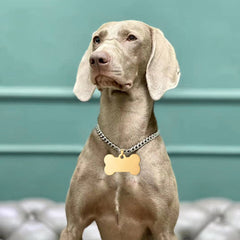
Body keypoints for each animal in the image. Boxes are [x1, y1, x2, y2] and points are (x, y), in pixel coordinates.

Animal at [60, 20, 180, 240]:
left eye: (131, 37)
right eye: (97, 39)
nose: (96, 59)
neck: (122, 140)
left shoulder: (165, 229)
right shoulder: (73, 225)